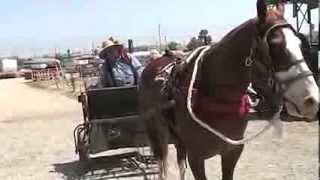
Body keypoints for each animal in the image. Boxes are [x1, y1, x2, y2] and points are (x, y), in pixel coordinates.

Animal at [139, 0, 318, 179]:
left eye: (300, 44)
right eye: (275, 45)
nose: (312, 100)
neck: (215, 96)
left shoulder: (232, 152)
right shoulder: (196, 157)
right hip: (157, 134)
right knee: (162, 163)